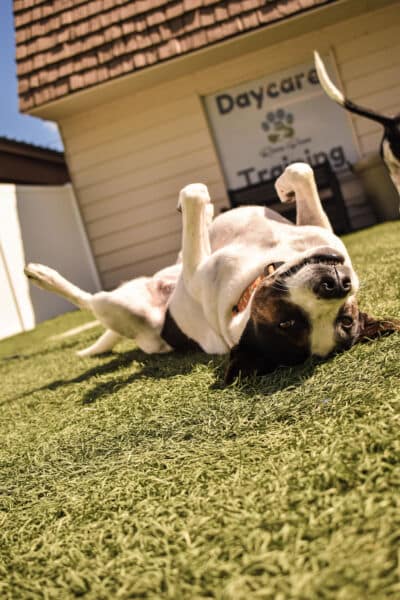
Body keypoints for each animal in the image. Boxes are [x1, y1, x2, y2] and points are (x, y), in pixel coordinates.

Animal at [25, 162, 400, 382]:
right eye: (348, 319)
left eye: (288, 323)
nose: (335, 283)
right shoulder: (317, 227)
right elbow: (303, 170)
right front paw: (282, 186)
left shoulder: (196, 271)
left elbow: (193, 194)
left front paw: (197, 204)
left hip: (123, 308)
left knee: (90, 301)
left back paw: (41, 275)